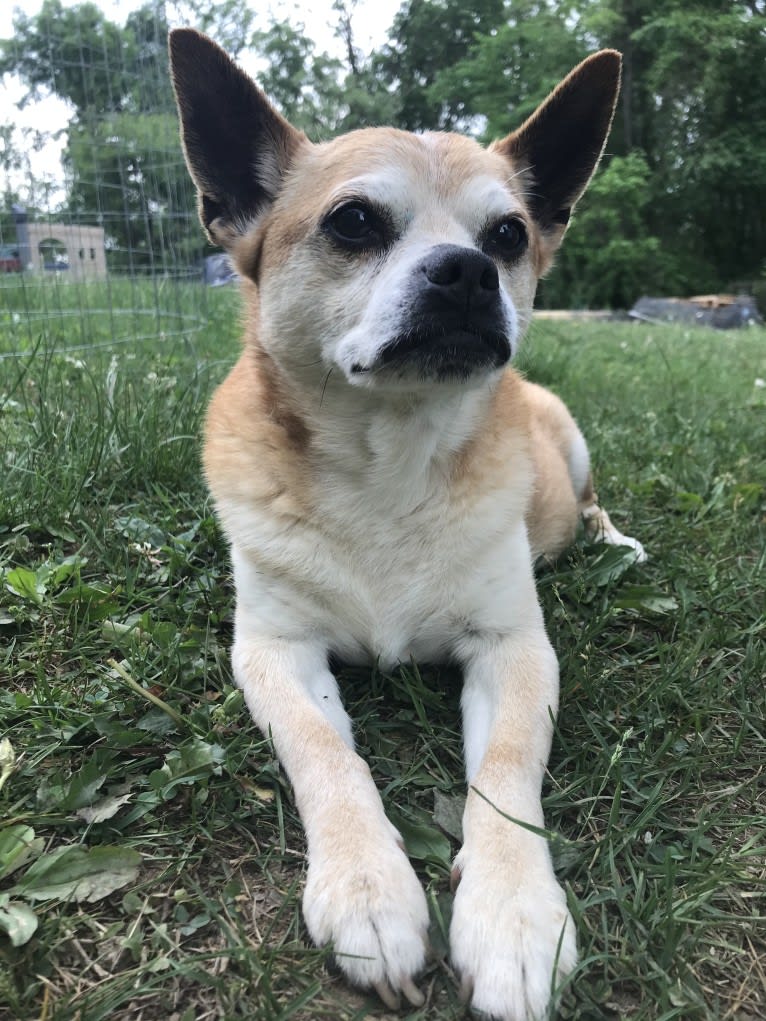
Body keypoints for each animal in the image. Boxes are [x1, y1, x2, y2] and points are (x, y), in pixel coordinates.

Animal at [170, 29, 645, 1021]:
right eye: (354, 222)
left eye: (507, 235)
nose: (466, 270)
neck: (388, 464)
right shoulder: (273, 649)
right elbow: (325, 755)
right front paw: (366, 888)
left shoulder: (514, 646)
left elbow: (505, 770)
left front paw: (513, 915)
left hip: (571, 440)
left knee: (591, 504)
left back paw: (614, 543)